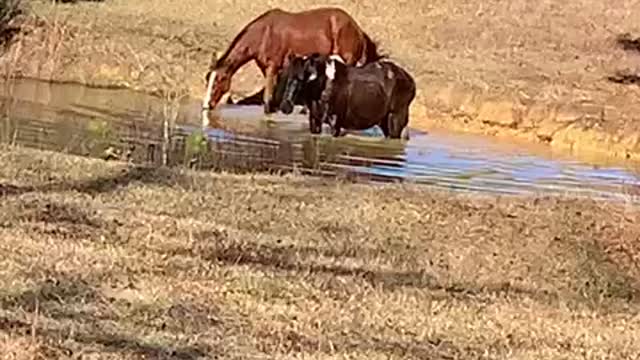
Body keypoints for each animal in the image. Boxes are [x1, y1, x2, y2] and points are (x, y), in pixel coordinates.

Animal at [202, 6, 382, 115]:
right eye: (207, 80)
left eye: (218, 81)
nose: (206, 106)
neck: (264, 34)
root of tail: (357, 28)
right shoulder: (268, 69)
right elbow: (272, 97)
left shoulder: (272, 67)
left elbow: (267, 99)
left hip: (348, 61)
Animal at [278, 53, 416, 139]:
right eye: (288, 76)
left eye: (302, 79)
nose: (285, 106)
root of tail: (411, 80)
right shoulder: (315, 120)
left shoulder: (336, 122)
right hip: (385, 121)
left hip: (396, 119)